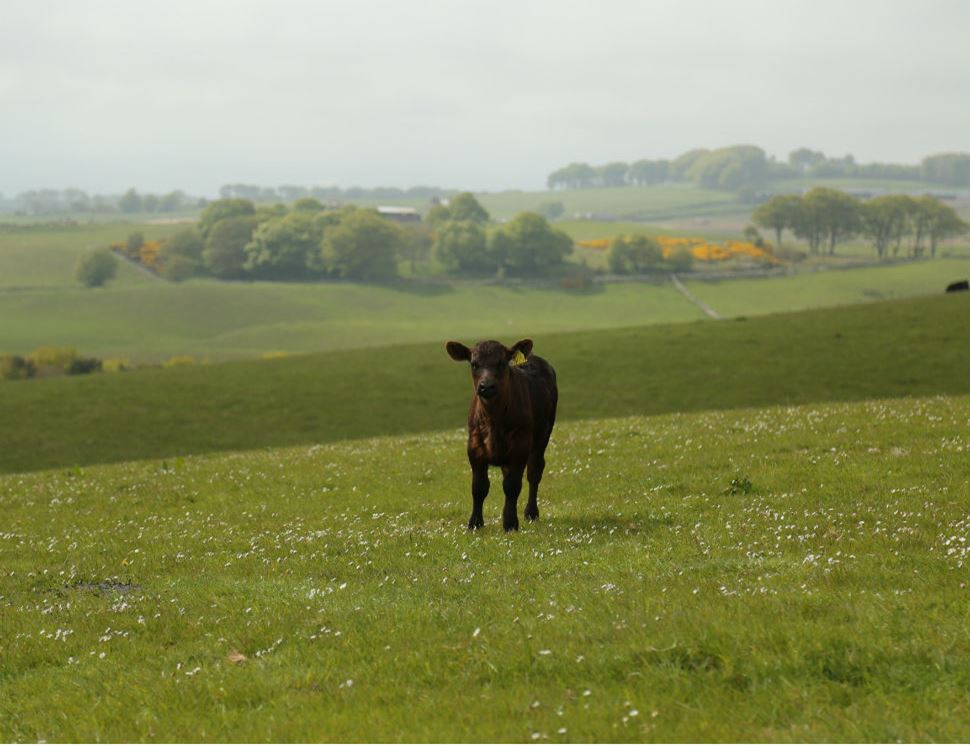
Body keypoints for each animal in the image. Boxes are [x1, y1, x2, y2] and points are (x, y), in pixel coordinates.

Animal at [444, 338, 556, 528]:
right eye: (474, 364)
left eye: (502, 362)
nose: (486, 386)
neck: (493, 420)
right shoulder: (474, 446)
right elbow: (479, 487)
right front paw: (475, 523)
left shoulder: (520, 446)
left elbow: (512, 485)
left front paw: (510, 523)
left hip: (542, 437)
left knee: (534, 472)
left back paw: (531, 512)